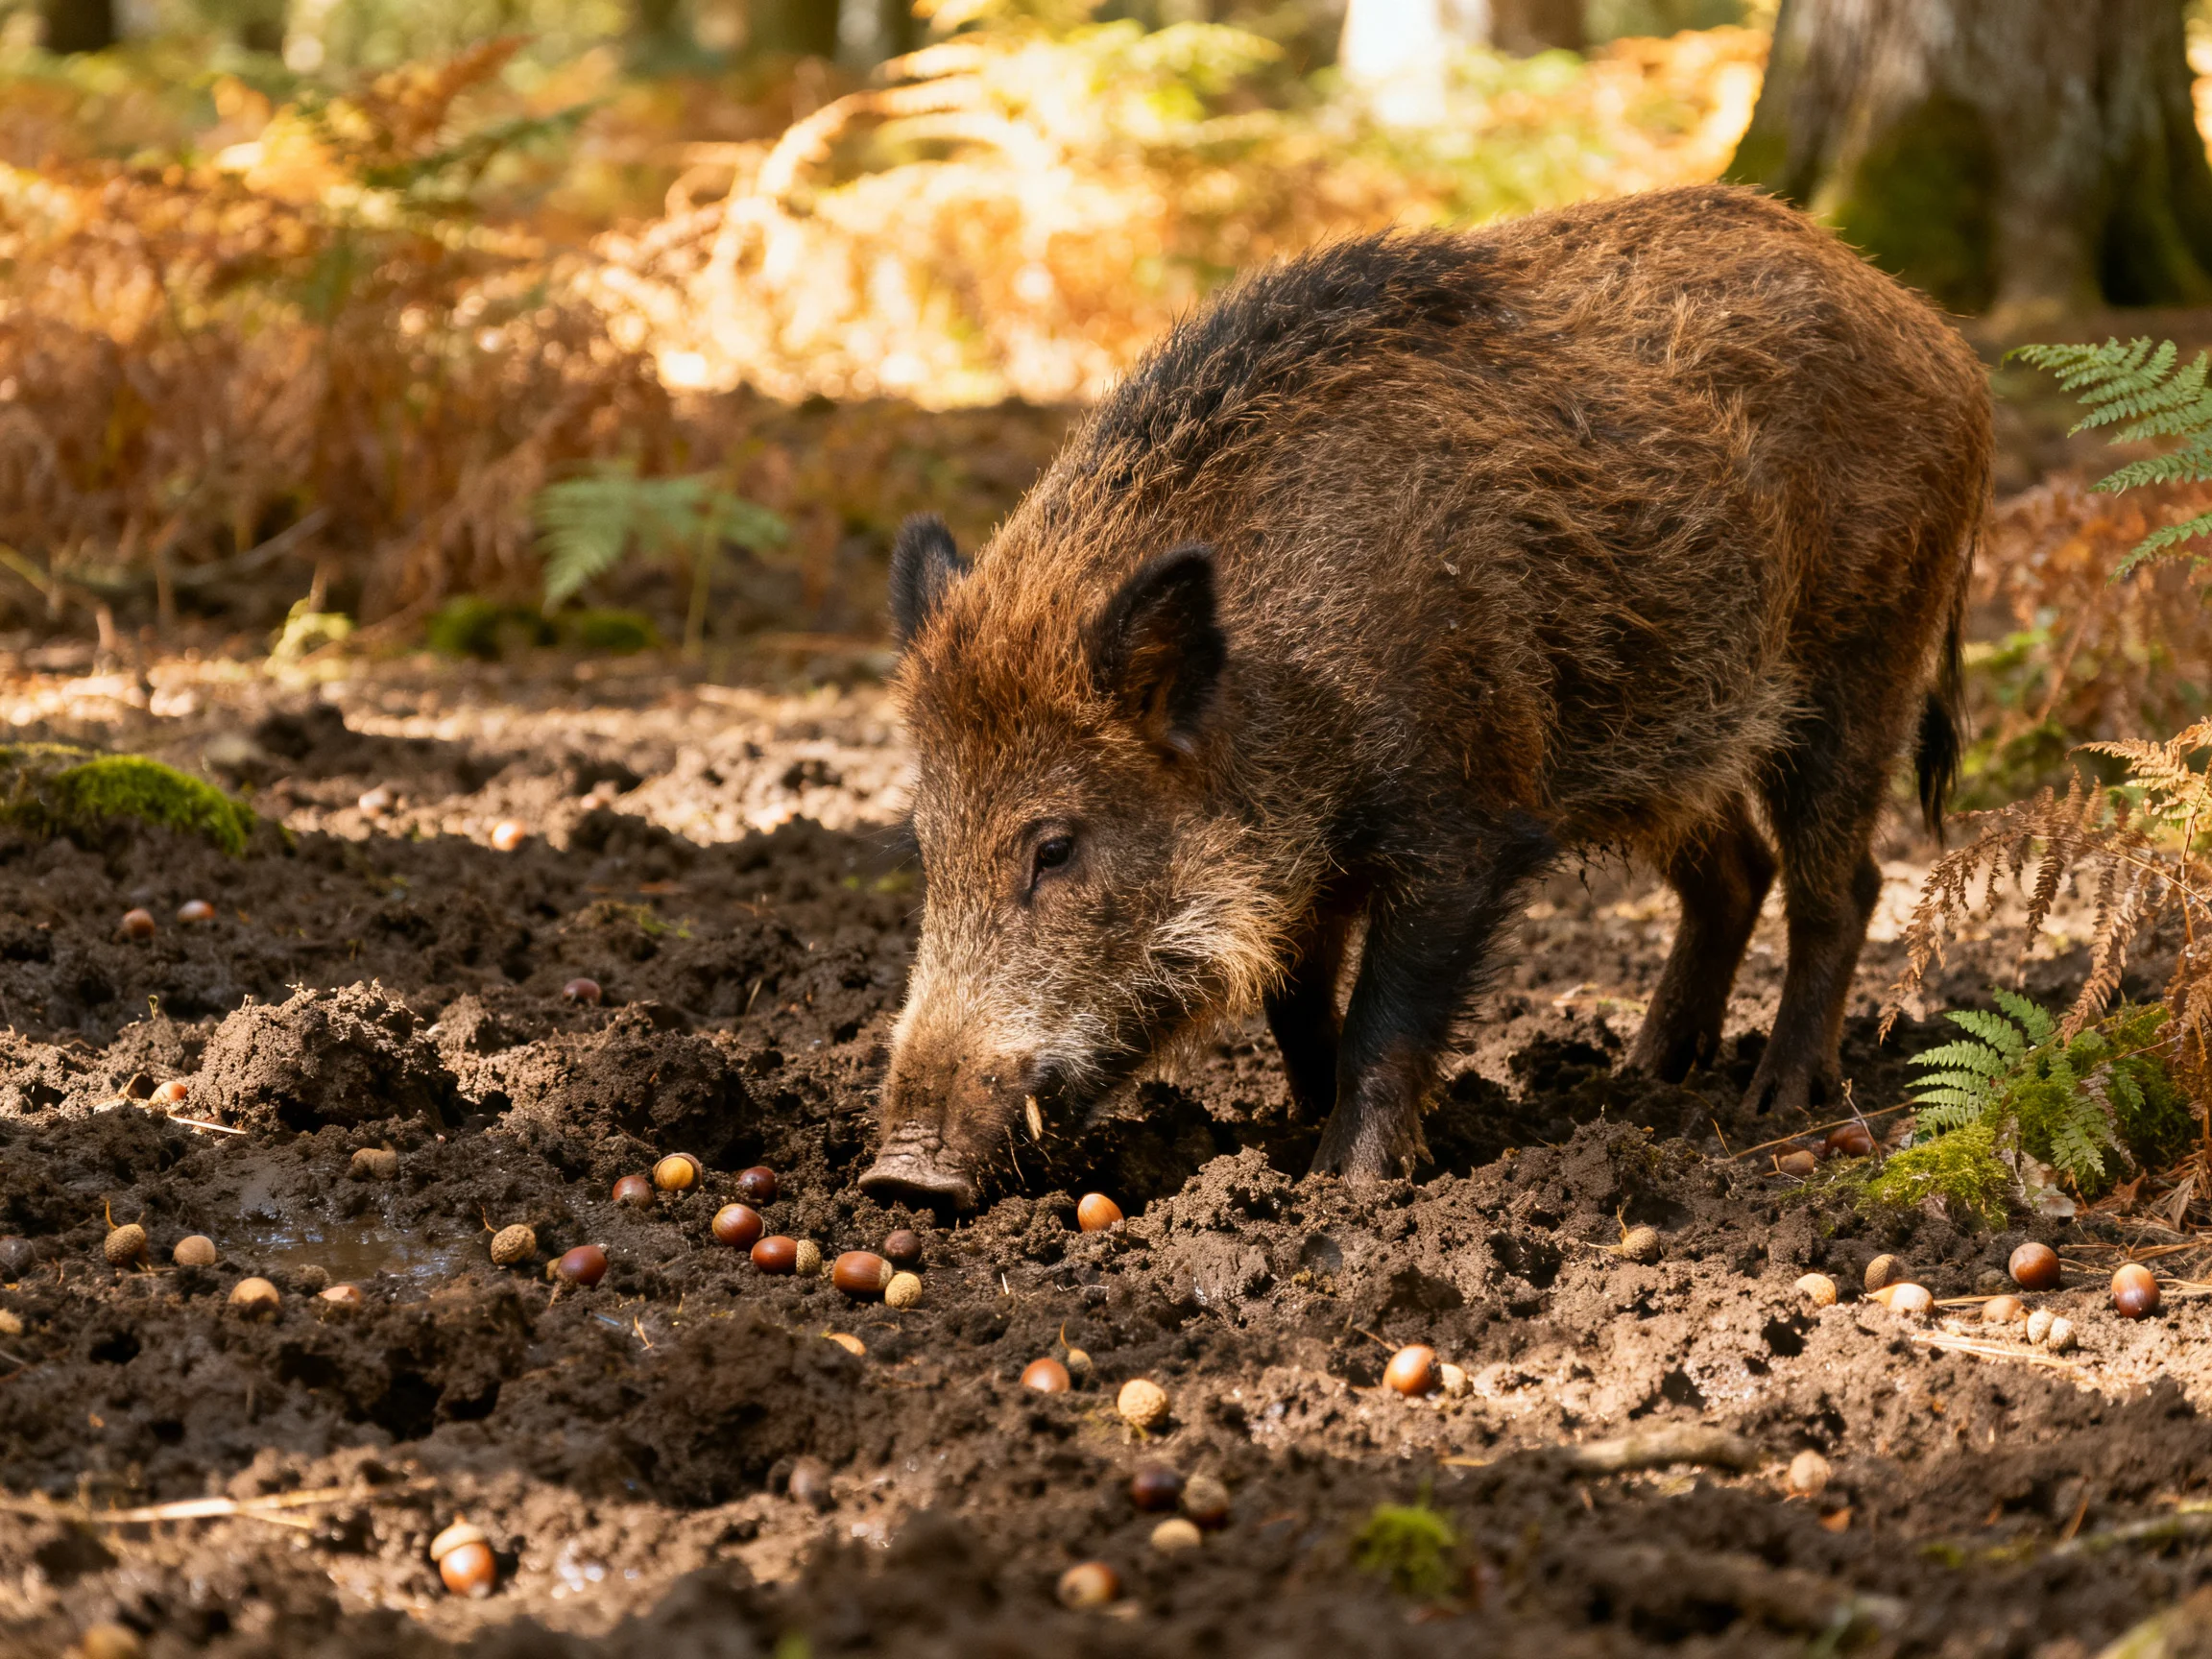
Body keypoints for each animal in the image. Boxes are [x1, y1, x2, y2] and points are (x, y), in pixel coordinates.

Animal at [860, 183, 1992, 1210]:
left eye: (1055, 848)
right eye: (925, 844)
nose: (900, 1177)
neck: (1283, 695)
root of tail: (1940, 338)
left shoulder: (1463, 823)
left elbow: (1386, 1012)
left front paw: (1346, 1187)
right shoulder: (1306, 869)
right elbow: (1296, 1003)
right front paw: (1307, 1130)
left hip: (1863, 661)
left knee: (1842, 885)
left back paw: (1773, 1100)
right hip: (1665, 728)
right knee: (1736, 873)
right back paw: (1644, 1075)